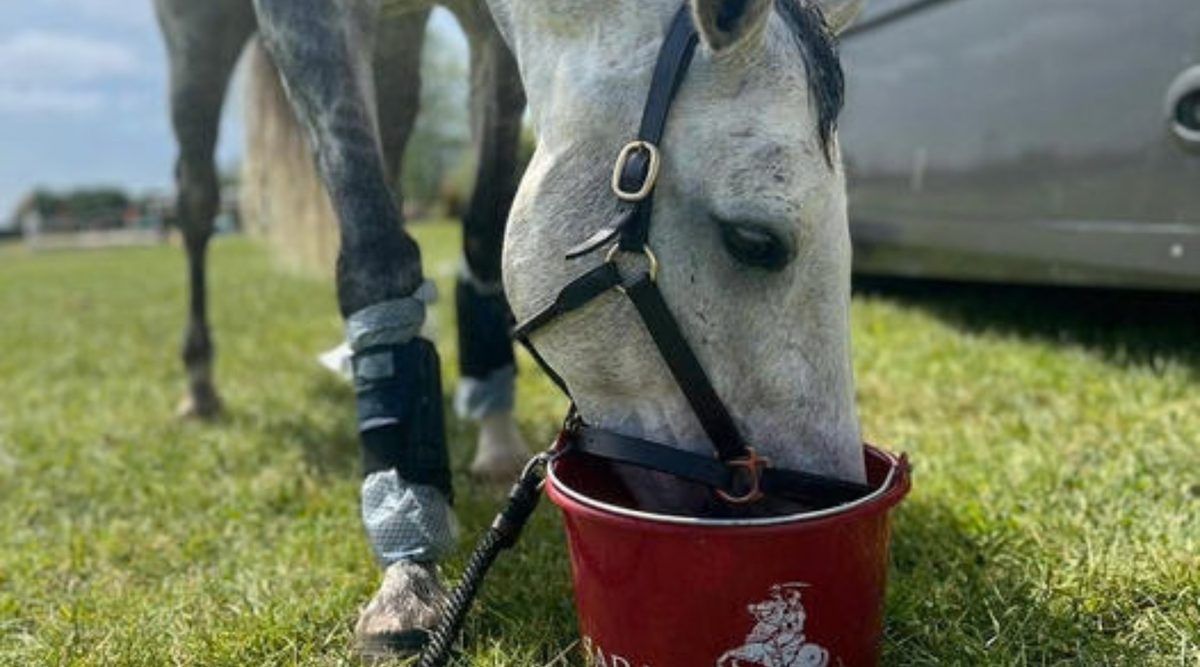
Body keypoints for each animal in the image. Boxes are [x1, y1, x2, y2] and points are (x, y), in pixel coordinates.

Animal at [171, 0, 864, 658]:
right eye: (754, 241)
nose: (813, 503)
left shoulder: (489, 44)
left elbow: (480, 229)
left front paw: (494, 433)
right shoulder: (302, 20)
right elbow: (374, 250)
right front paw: (407, 568)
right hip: (198, 33)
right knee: (198, 197)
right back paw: (201, 385)